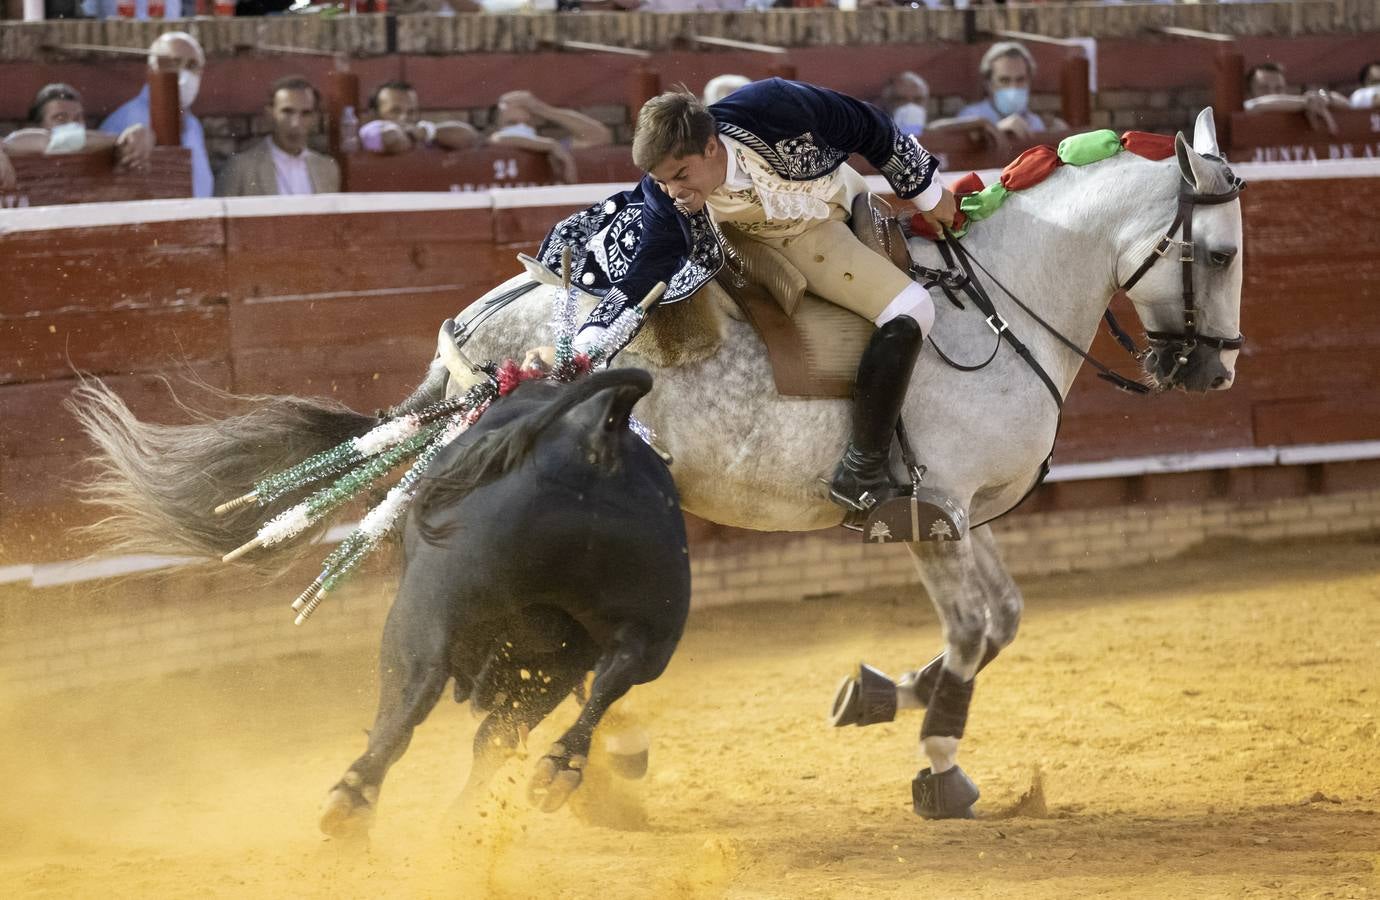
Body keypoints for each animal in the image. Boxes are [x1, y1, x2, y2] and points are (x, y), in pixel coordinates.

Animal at [320, 364, 690, 839]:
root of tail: (599, 438)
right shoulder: (559, 661)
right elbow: (498, 736)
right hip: (653, 627)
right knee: (618, 673)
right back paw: (559, 768)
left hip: (429, 602)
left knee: (409, 694)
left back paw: (353, 801)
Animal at [425, 109, 1247, 817]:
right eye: (1221, 254)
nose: (1215, 374)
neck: (1001, 305)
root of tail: (478, 328)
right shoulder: (936, 513)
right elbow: (971, 631)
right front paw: (941, 767)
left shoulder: (954, 512)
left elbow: (1002, 620)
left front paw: (880, 693)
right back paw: (595, 757)